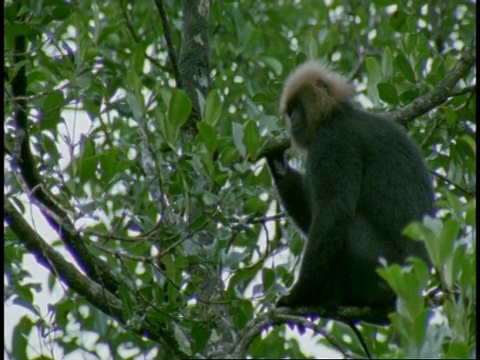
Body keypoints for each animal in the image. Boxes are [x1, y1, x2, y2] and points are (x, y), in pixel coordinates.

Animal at [266, 60, 436, 310]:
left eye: (297, 107)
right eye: (290, 111)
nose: (293, 119)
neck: (336, 115)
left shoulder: (334, 142)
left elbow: (333, 211)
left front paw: (298, 293)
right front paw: (278, 165)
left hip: (379, 265)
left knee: (346, 222)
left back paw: (329, 298)